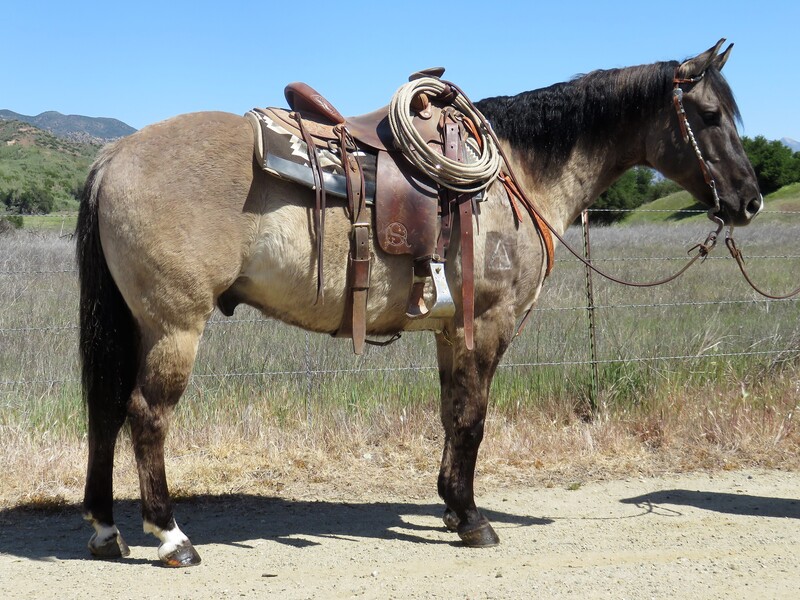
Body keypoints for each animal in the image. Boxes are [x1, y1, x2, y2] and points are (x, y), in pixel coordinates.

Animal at [76, 38, 764, 568]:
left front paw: (451, 505)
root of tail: (115, 154)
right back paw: (172, 538)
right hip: (173, 325)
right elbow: (473, 421)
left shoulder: (448, 331)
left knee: (106, 412)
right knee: (146, 415)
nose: (750, 200)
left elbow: (450, 415)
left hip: (133, 323)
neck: (515, 174)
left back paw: (108, 531)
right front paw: (474, 520)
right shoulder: (487, 324)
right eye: (708, 114)